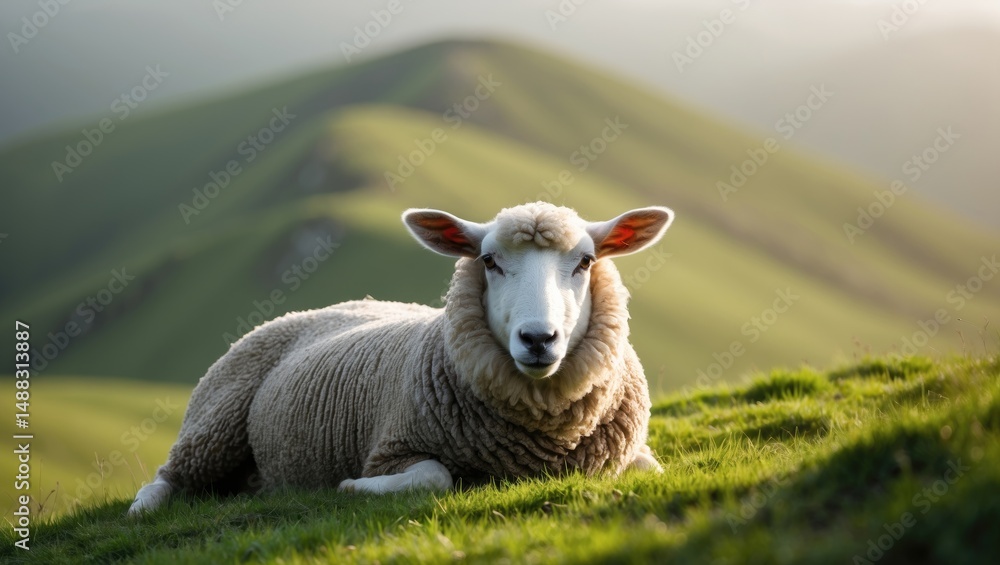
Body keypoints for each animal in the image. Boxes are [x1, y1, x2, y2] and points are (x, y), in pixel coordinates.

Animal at [129, 201, 673, 515]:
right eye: (489, 261)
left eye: (585, 262)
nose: (539, 338)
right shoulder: (390, 448)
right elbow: (436, 476)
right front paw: (352, 488)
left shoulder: (627, 457)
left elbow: (652, 470)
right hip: (213, 423)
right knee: (169, 478)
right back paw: (144, 507)